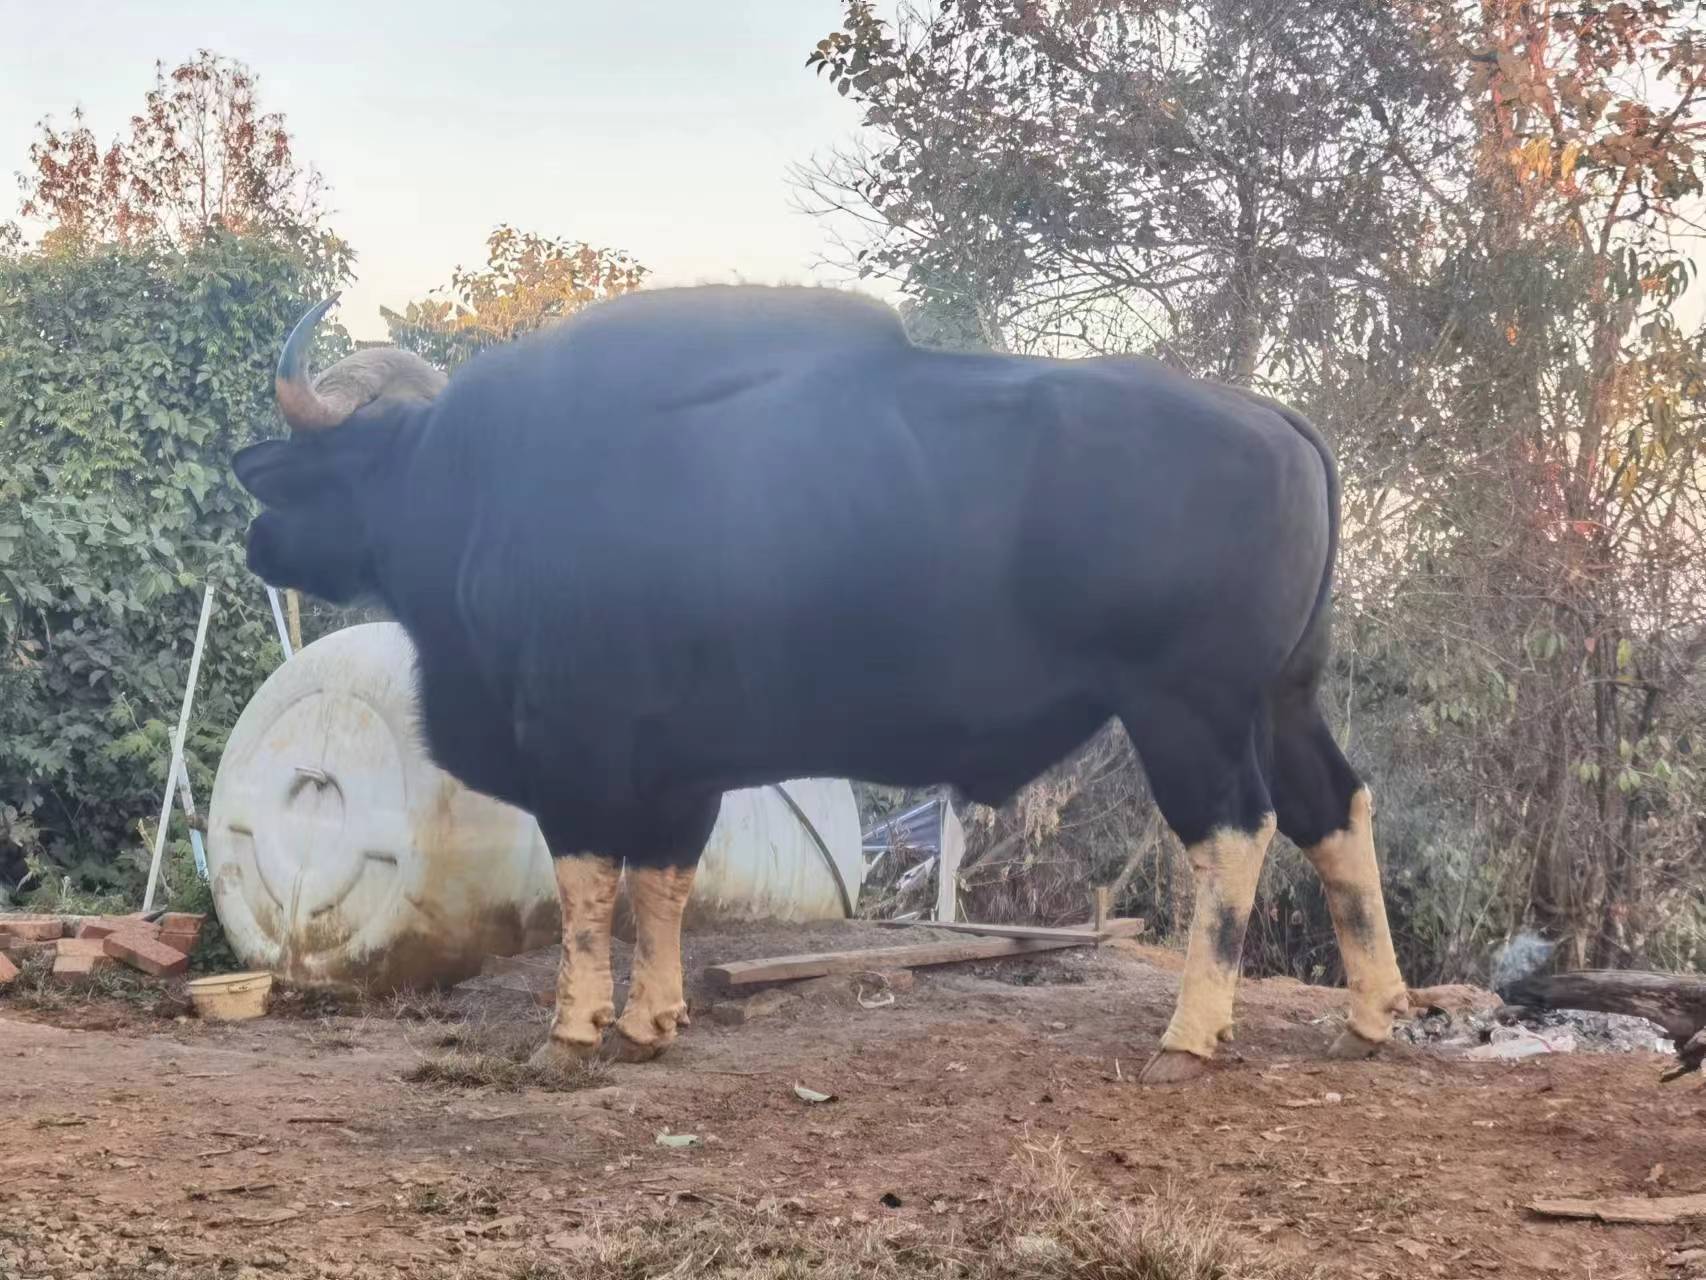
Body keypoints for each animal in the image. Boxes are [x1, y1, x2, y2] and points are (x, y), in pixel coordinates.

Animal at [233, 284, 1409, 1084]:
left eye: (327, 465)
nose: (255, 530)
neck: (480, 483)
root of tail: (1275, 420)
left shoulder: (578, 753)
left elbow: (587, 894)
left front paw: (574, 1028)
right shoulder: (681, 770)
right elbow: (661, 889)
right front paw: (654, 1019)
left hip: (1186, 706)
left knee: (1236, 832)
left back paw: (1192, 1030)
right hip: (1283, 697)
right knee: (1334, 809)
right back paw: (1374, 1012)